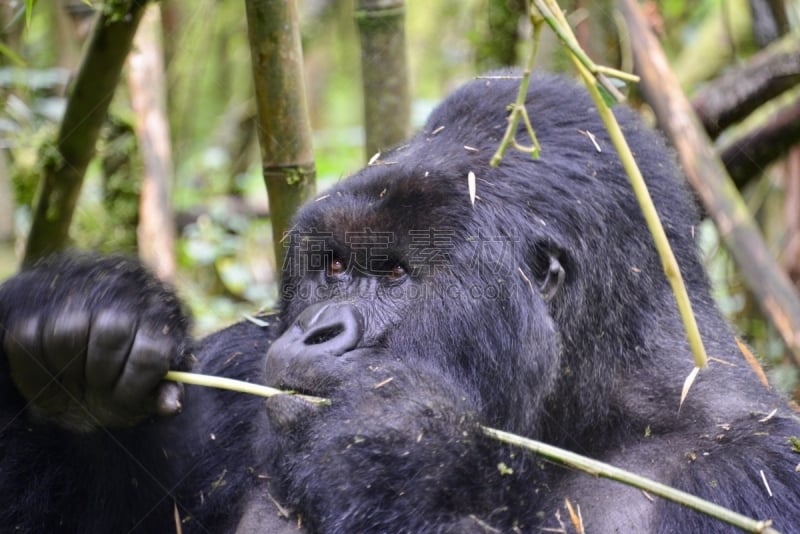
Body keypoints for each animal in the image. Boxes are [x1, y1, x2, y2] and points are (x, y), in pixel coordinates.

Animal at [1, 73, 800, 532]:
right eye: (333, 265)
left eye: (393, 275)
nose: (317, 332)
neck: (590, 408)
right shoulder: (240, 361)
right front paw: (77, 333)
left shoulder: (748, 472)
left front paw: (393, 443)